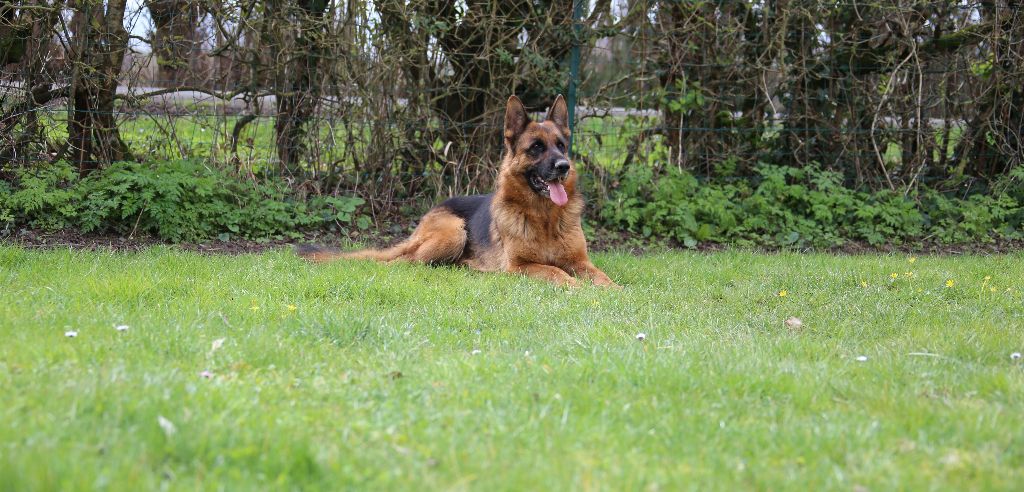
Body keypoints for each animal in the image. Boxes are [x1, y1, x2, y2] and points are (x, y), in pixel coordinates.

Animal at [296, 95, 614, 289]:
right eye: (536, 147)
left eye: (561, 145)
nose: (563, 166)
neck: (545, 217)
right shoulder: (520, 266)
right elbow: (555, 271)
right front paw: (577, 288)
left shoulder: (581, 262)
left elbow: (603, 277)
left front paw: (615, 291)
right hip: (453, 232)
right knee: (405, 263)